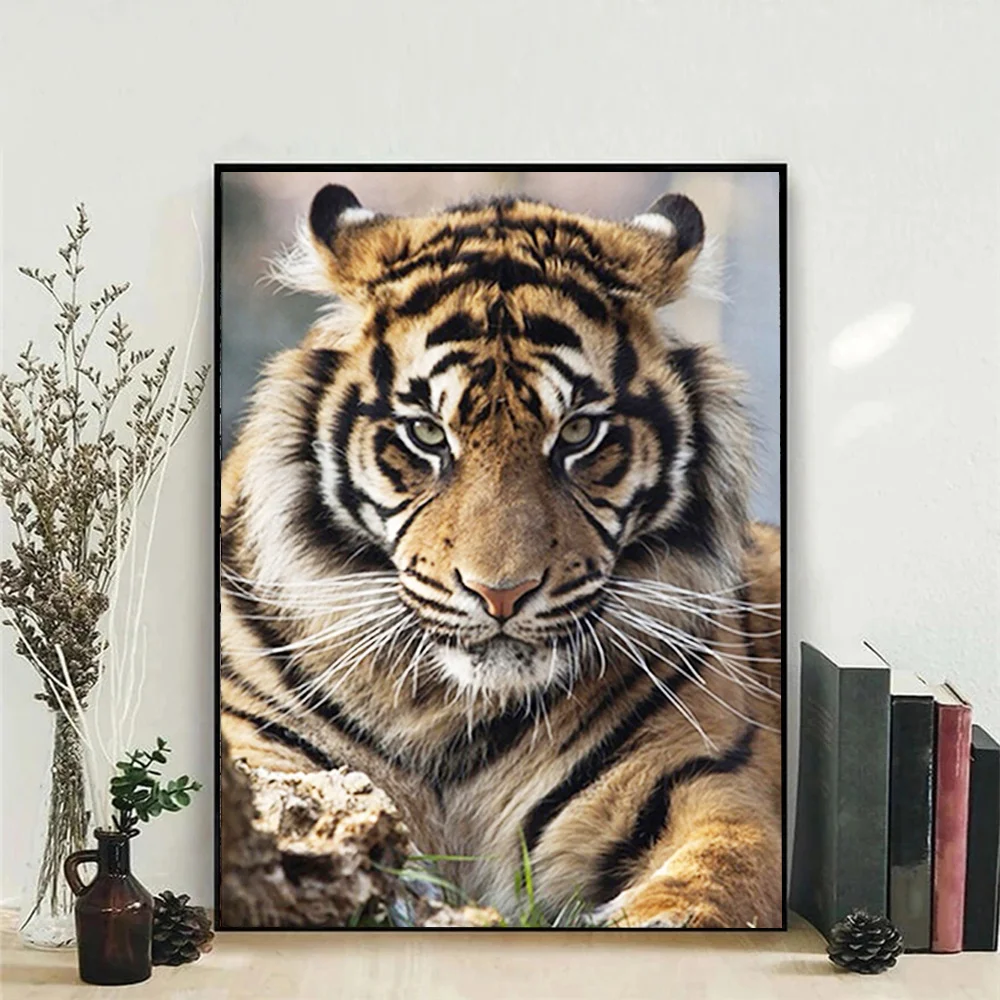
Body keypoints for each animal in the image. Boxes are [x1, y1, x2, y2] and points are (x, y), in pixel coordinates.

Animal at [220, 181, 783, 929]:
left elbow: (716, 878)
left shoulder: (706, 781)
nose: (501, 594)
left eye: (577, 433)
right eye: (428, 434)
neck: (446, 713)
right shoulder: (260, 752)